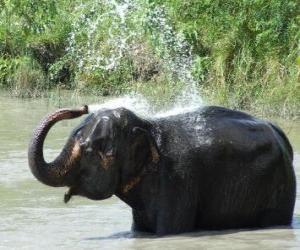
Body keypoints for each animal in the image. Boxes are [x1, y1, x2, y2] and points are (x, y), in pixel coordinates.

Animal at [28, 104, 296, 235]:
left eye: (91, 150)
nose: (82, 107)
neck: (147, 125)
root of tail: (280, 134)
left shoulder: (179, 180)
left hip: (280, 189)